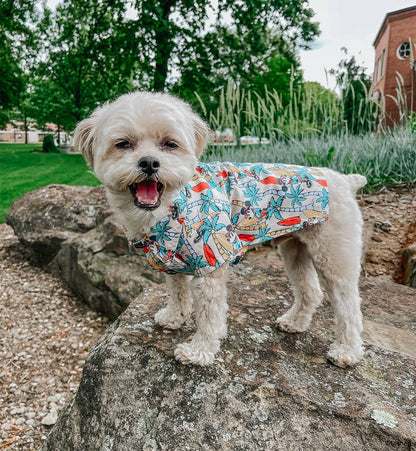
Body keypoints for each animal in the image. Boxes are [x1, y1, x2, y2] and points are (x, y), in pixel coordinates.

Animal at [73, 91, 366, 368]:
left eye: (170, 144)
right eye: (123, 144)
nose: (149, 162)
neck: (171, 207)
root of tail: (345, 179)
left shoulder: (211, 262)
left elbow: (209, 313)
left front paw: (199, 350)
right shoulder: (172, 260)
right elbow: (177, 291)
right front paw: (174, 317)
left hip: (334, 253)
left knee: (348, 304)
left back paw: (347, 351)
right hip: (294, 249)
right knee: (310, 291)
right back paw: (294, 323)